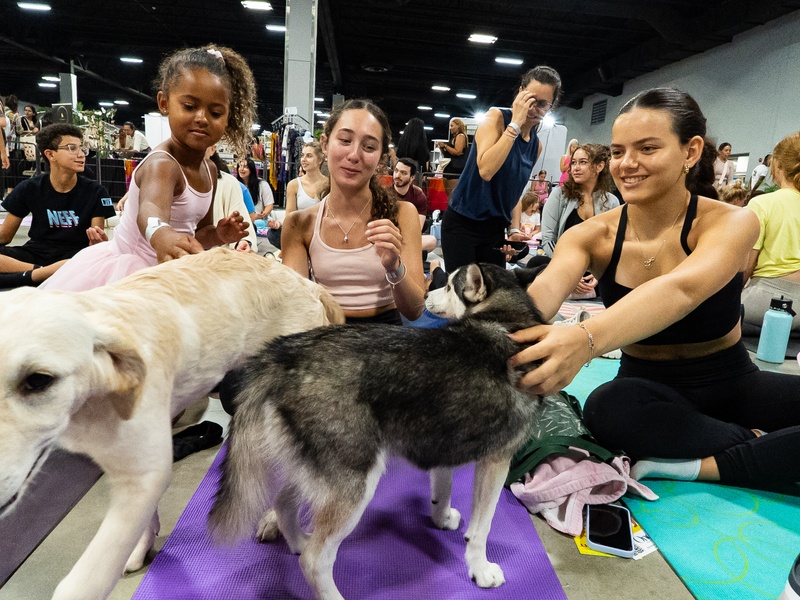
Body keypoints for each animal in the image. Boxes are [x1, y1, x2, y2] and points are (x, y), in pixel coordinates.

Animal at [0, 248, 343, 600]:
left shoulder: (145, 474)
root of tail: (306, 284)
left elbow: (87, 579)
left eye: (39, 380)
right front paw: (141, 545)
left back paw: (275, 520)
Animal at [209, 262, 545, 600]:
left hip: (313, 467)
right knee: (315, 561)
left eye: (450, 286)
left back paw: (299, 541)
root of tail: (280, 356)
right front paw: (481, 570)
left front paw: (442, 518)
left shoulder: (442, 439)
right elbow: (482, 527)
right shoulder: (497, 459)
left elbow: (443, 491)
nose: (426, 294)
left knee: (283, 504)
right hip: (355, 481)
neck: (505, 319)